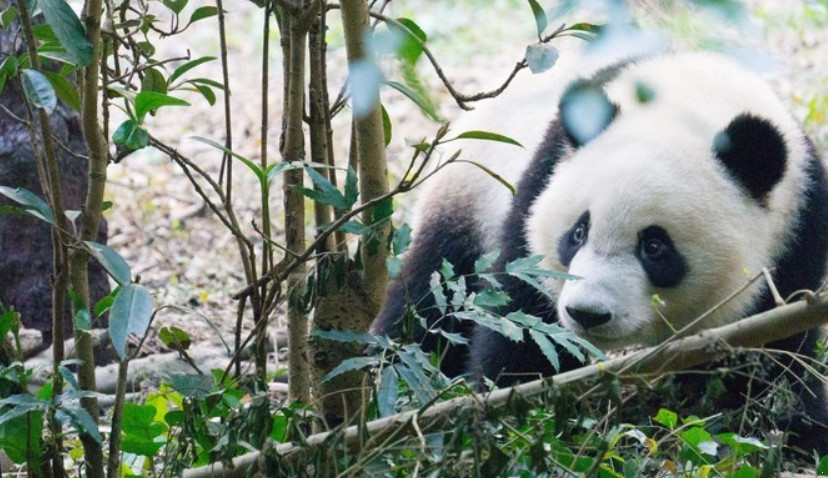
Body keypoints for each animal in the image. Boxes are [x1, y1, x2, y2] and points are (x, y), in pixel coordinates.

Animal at [371, 51, 828, 452]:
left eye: (655, 247)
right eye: (578, 232)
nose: (587, 314)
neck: (697, 98)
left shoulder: (797, 238)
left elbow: (773, 356)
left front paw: (793, 428)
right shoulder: (541, 179)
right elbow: (523, 323)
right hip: (467, 199)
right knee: (426, 302)